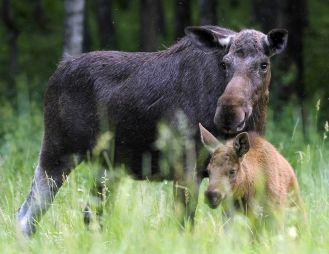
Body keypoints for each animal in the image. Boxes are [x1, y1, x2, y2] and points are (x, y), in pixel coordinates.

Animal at [16, 25, 288, 236]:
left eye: (264, 64)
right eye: (225, 63)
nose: (229, 112)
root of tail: (56, 73)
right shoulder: (185, 167)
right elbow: (184, 225)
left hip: (106, 166)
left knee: (89, 214)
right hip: (58, 152)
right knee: (26, 215)